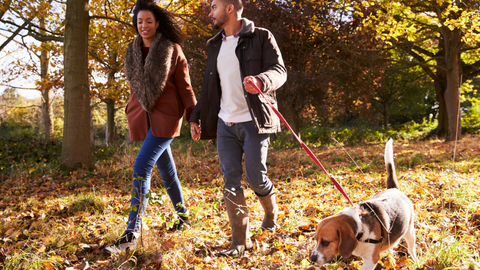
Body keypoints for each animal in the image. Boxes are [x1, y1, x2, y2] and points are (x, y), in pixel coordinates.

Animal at [312, 139, 416, 270]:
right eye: (316, 240)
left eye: (325, 242)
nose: (312, 258)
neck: (360, 228)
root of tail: (393, 189)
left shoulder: (371, 260)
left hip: (410, 232)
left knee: (412, 250)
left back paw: (416, 262)